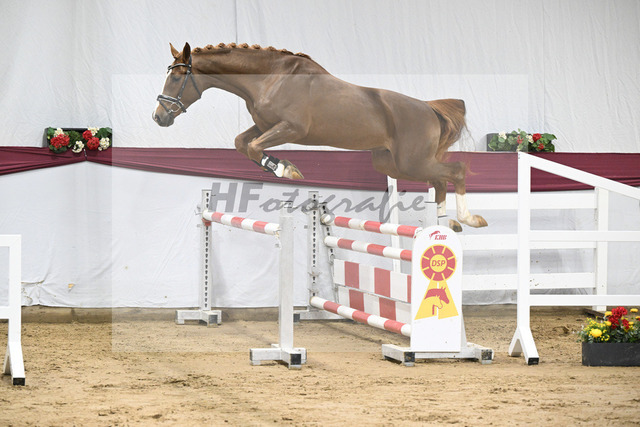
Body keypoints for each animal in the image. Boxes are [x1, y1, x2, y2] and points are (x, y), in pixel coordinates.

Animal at [153, 42, 487, 230]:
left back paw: (468, 219)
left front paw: (286, 169)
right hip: (392, 164)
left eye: (176, 77)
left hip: (411, 162)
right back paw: (447, 222)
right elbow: (243, 144)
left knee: (455, 171)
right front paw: (280, 166)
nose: (159, 117)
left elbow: (254, 147)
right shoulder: (263, 125)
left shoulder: (291, 128)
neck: (270, 78)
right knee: (440, 180)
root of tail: (429, 108)